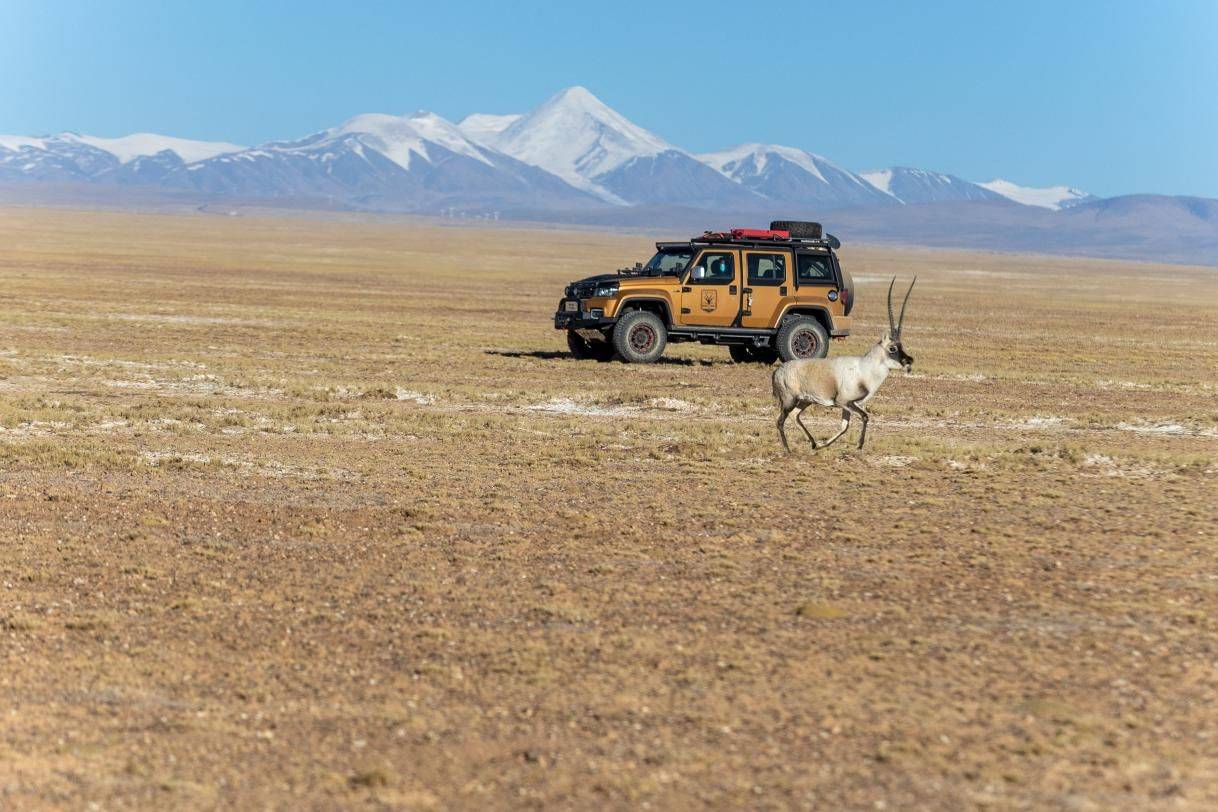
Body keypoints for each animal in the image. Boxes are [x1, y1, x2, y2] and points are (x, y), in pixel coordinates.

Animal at [769, 280, 915, 450]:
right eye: (892, 348)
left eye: (901, 346)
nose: (909, 360)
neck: (865, 369)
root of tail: (778, 371)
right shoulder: (844, 402)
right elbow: (864, 417)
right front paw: (859, 445)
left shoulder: (850, 406)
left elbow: (844, 427)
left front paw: (824, 444)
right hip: (789, 400)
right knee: (780, 421)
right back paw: (788, 449)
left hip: (805, 400)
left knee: (794, 416)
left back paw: (814, 443)